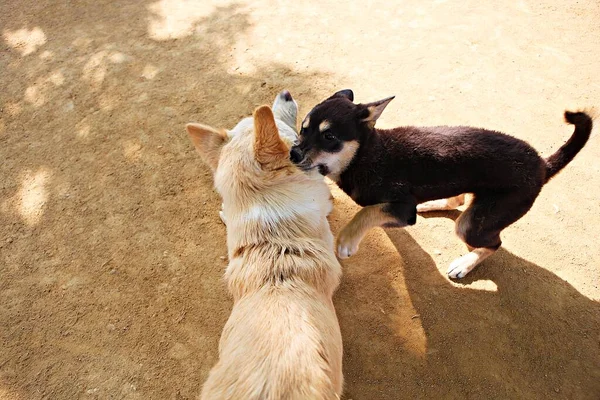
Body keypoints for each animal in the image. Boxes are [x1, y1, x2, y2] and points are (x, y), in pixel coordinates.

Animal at [290, 90, 592, 278]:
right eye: (303, 128)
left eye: (329, 137)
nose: (293, 153)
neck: (366, 156)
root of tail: (542, 165)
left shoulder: (403, 209)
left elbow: (366, 212)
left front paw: (347, 241)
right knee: (459, 199)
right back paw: (434, 204)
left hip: (473, 224)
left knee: (494, 243)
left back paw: (464, 264)